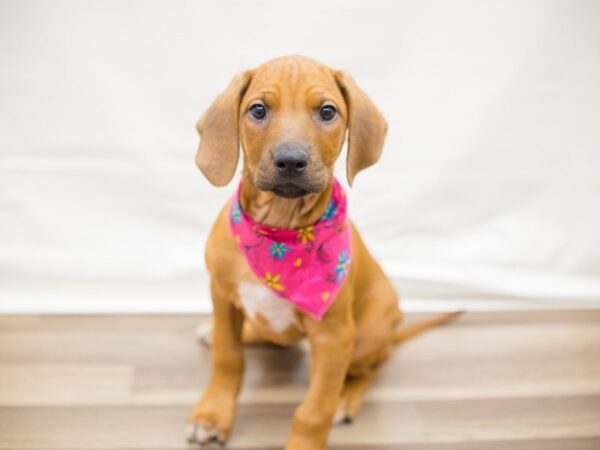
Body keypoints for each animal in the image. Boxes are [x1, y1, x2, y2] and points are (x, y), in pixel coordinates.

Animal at [188, 56, 460, 450]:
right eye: (258, 109)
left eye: (328, 111)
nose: (290, 160)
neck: (280, 232)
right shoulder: (223, 298)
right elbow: (228, 358)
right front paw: (212, 415)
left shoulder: (334, 338)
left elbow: (315, 408)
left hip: (365, 337)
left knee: (372, 365)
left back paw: (347, 398)